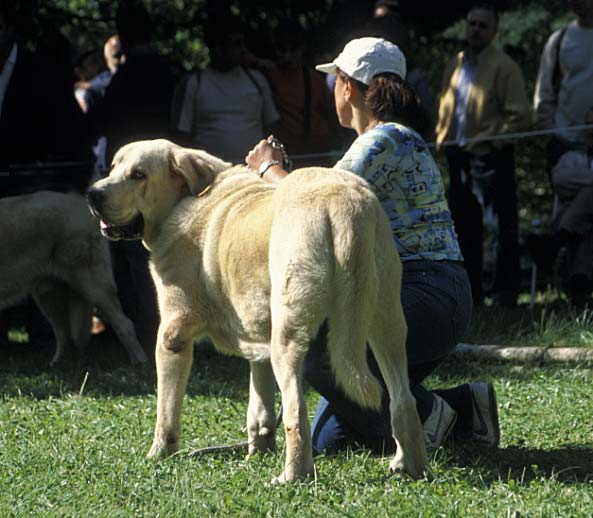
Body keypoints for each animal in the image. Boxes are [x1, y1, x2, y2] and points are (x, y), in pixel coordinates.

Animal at [88, 140, 428, 486]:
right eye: (113, 167)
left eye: (138, 175)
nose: (93, 193)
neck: (184, 199)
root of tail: (343, 204)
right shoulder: (256, 335)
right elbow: (259, 403)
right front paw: (258, 450)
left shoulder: (173, 335)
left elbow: (166, 410)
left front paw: (158, 453)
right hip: (386, 322)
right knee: (403, 401)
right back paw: (410, 466)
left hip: (288, 337)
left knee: (296, 413)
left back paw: (291, 477)